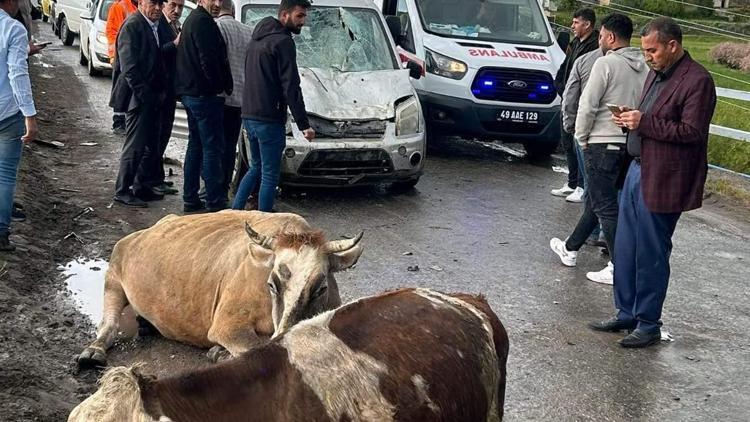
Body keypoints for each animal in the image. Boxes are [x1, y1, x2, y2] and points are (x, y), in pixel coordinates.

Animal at [78, 210, 366, 366]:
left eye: (321, 288)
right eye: (271, 284)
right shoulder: (227, 325)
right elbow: (253, 348)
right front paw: (220, 353)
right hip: (113, 277)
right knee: (109, 323)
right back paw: (94, 350)